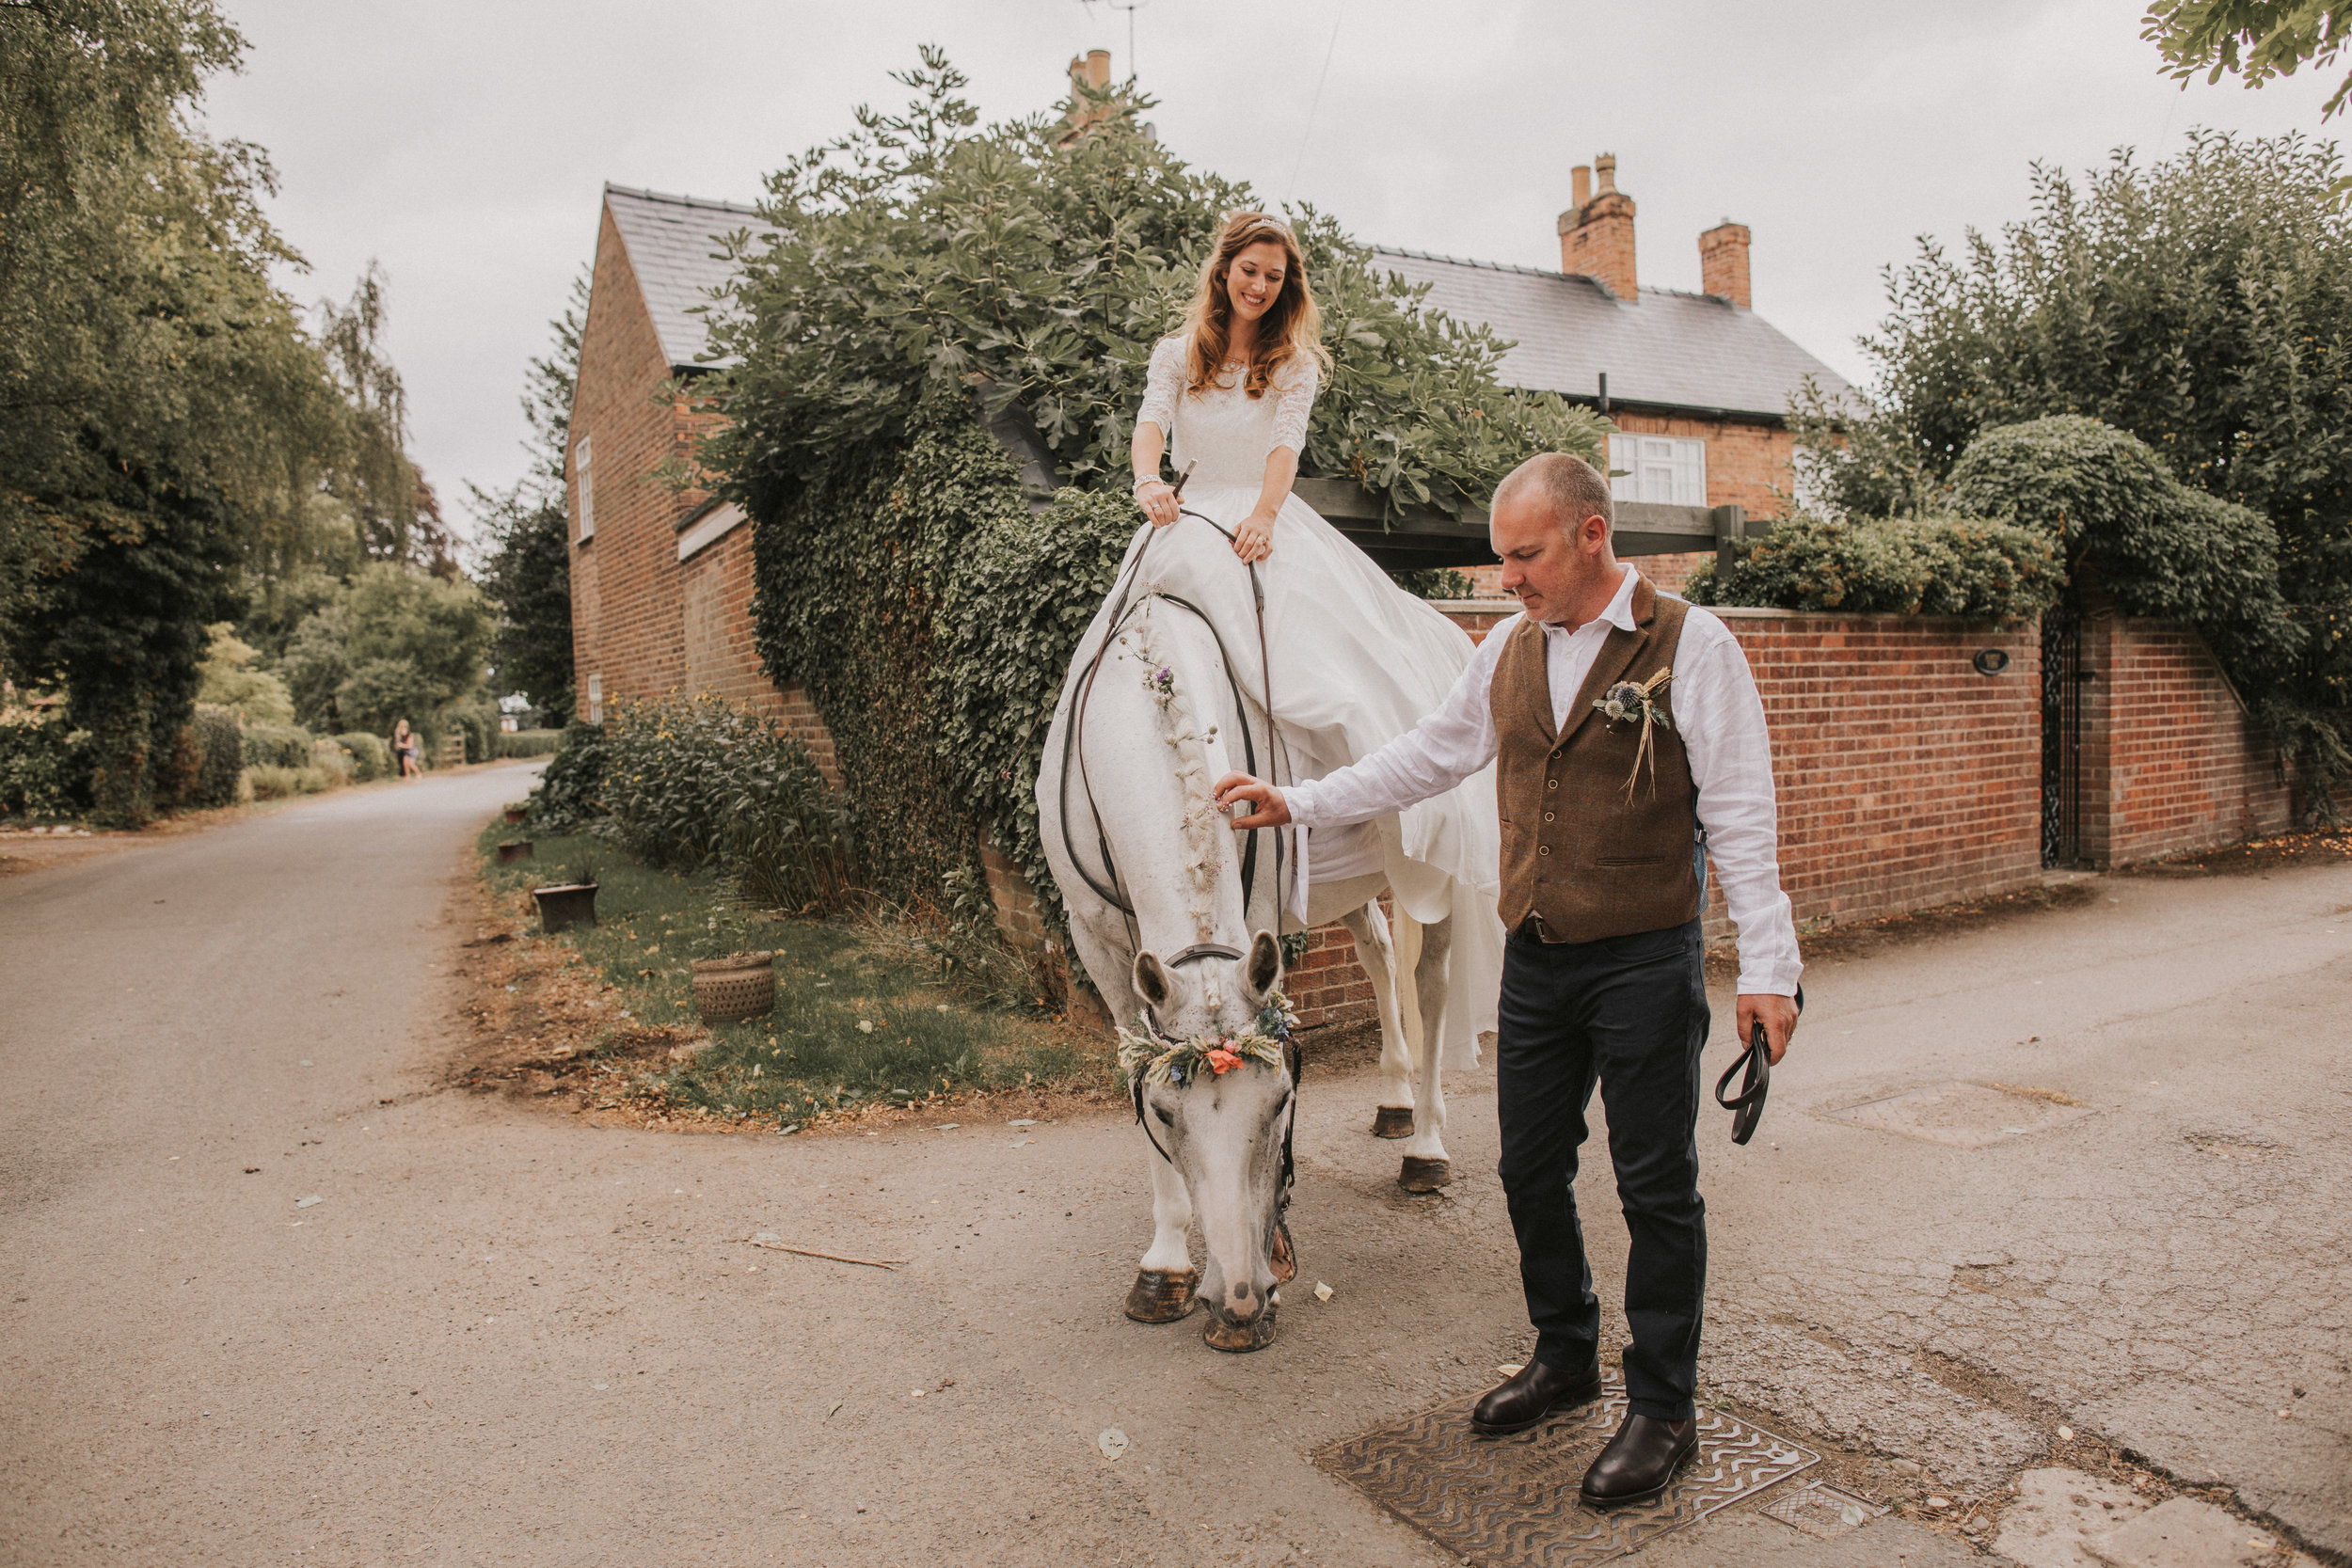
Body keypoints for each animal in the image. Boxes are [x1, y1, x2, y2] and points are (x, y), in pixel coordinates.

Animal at [1044, 571, 1458, 1354]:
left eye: (1283, 1101)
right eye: (1164, 1112)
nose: (1238, 1301)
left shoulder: (1258, 920)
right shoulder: (1100, 949)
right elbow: (1133, 1063)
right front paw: (1166, 1267)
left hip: (1439, 870)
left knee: (1431, 985)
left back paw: (1426, 1139)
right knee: (1379, 950)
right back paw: (1395, 1101)